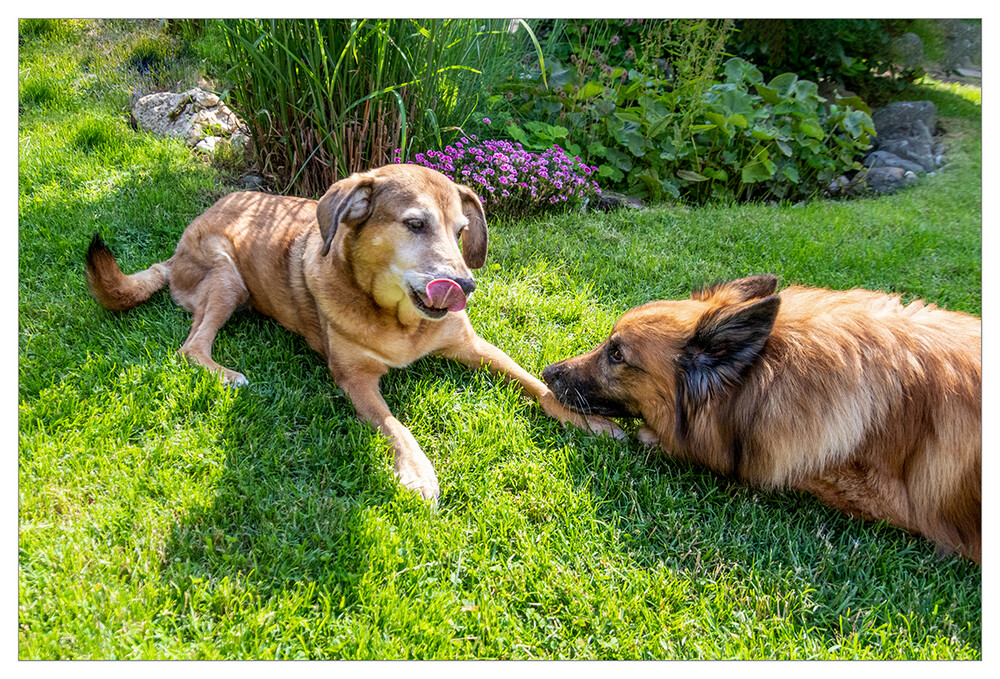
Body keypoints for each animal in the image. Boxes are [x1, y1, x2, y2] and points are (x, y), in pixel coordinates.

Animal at [86, 164, 620, 502]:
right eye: (415, 224)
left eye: (461, 231)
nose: (465, 286)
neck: (401, 321)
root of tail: (175, 252)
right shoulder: (355, 379)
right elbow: (395, 424)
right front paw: (418, 471)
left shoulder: (473, 346)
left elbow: (533, 381)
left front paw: (589, 421)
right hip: (225, 276)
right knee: (191, 346)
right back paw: (226, 373)